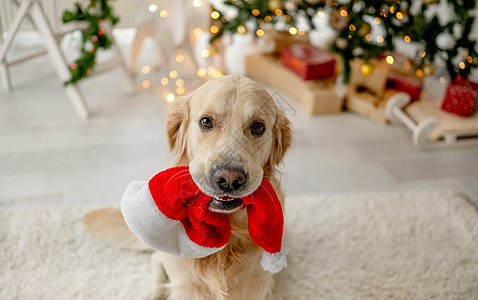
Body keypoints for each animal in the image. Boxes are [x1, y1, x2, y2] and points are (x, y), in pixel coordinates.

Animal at [84, 74, 294, 298]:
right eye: (206, 122)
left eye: (258, 127)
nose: (229, 179)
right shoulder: (186, 285)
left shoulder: (254, 287)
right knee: (156, 261)